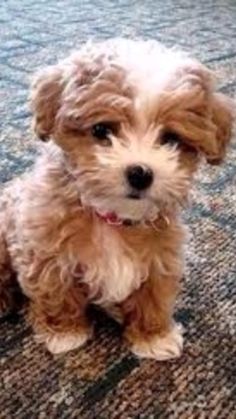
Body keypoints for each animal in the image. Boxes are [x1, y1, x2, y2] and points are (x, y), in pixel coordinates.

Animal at [0, 39, 232, 360]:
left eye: (170, 139)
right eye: (101, 130)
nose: (140, 173)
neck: (112, 216)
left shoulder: (161, 255)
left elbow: (153, 296)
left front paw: (154, 337)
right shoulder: (45, 248)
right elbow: (57, 292)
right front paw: (65, 333)